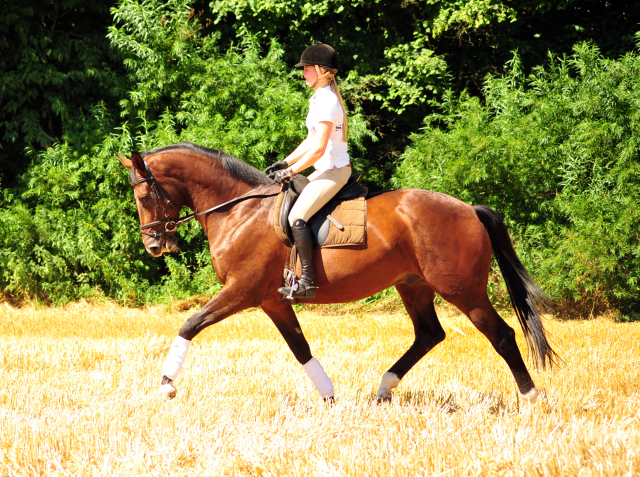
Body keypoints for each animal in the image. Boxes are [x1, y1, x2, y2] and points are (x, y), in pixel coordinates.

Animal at [119, 140, 556, 402]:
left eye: (143, 194)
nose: (154, 246)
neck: (239, 209)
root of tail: (469, 209)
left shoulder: (241, 291)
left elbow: (190, 324)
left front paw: (166, 385)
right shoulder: (272, 301)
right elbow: (301, 348)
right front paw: (329, 396)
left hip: (462, 290)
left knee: (501, 335)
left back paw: (530, 398)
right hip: (413, 286)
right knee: (429, 334)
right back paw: (384, 388)